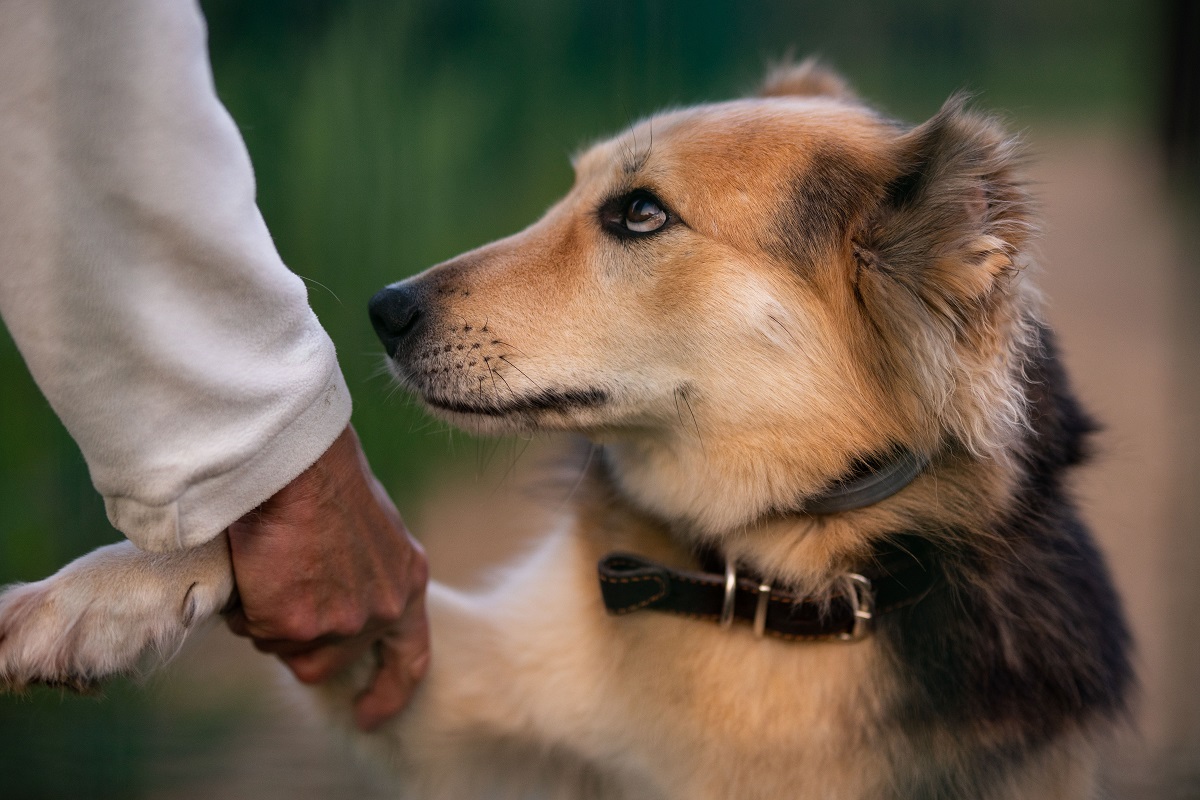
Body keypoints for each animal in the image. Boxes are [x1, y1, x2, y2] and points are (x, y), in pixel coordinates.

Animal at [0, 64, 1128, 800]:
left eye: (640, 214)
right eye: (575, 189)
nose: (380, 310)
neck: (765, 577)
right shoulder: (460, 711)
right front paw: (99, 596)